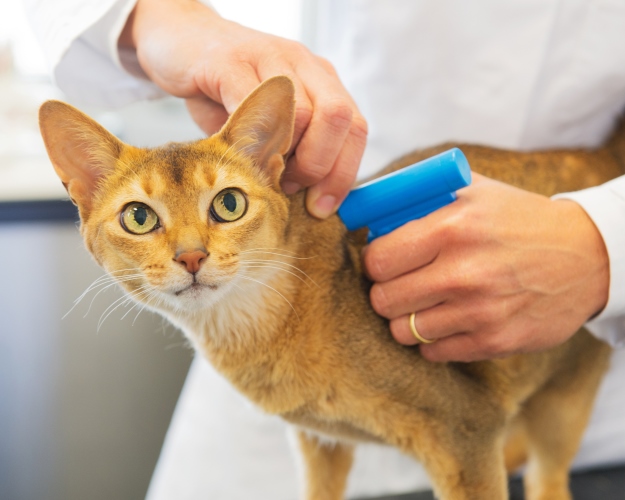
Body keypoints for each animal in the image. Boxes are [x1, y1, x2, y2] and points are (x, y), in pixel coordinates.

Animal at [39, 75, 620, 500]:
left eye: (229, 204)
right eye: (138, 217)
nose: (191, 256)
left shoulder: (467, 432)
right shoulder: (319, 442)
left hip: (567, 394)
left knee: (550, 477)